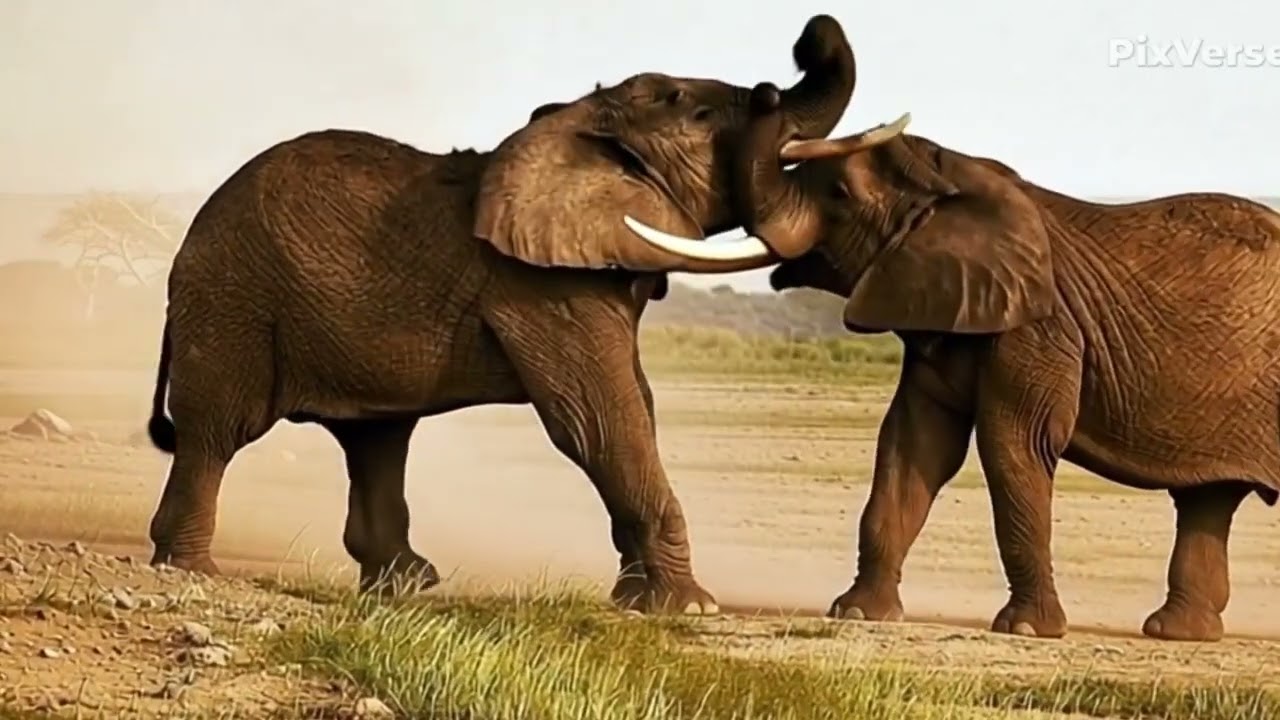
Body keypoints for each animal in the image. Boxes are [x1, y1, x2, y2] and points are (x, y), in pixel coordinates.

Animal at [140, 15, 858, 614]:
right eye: (702, 113)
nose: (789, 60)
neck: (580, 123)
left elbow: (636, 405)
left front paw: (635, 600)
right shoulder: (541, 286)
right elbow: (601, 418)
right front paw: (690, 608)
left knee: (376, 439)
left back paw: (407, 585)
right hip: (231, 300)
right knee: (218, 432)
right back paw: (191, 568)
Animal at [622, 79, 1280, 640]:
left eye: (838, 193)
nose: (765, 88)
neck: (951, 181)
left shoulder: (1038, 328)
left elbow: (1015, 442)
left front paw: (1026, 631)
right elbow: (914, 444)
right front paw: (858, 614)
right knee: (1207, 499)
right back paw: (1178, 632)